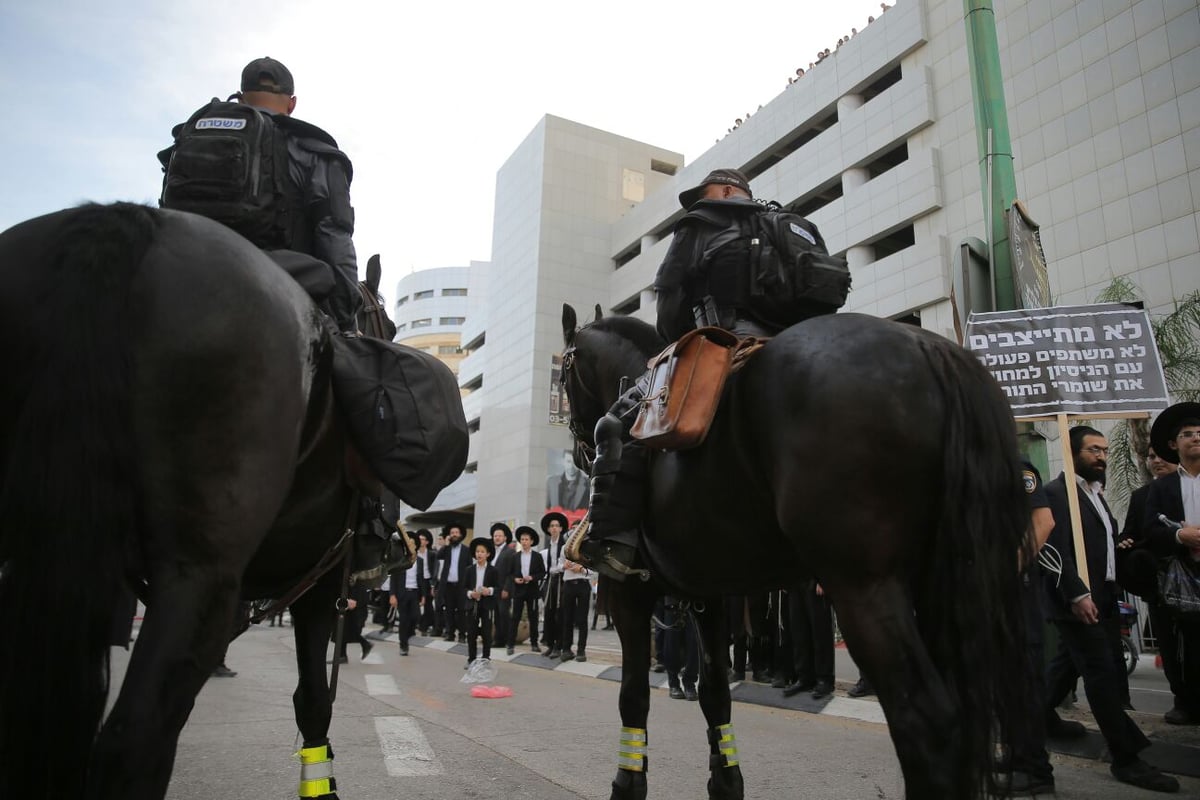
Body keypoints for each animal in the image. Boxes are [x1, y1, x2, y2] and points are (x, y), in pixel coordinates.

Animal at [0, 205, 417, 800]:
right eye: (391, 327)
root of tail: (126, 220)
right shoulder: (319, 578)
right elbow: (314, 702)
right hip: (200, 576)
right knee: (132, 743)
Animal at [561, 303, 1032, 796]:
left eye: (564, 376)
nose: (578, 454)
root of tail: (929, 347)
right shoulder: (707, 596)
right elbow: (714, 693)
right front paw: (725, 782)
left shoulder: (630, 593)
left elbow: (633, 694)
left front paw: (626, 785)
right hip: (939, 582)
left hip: (864, 585)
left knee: (927, 722)